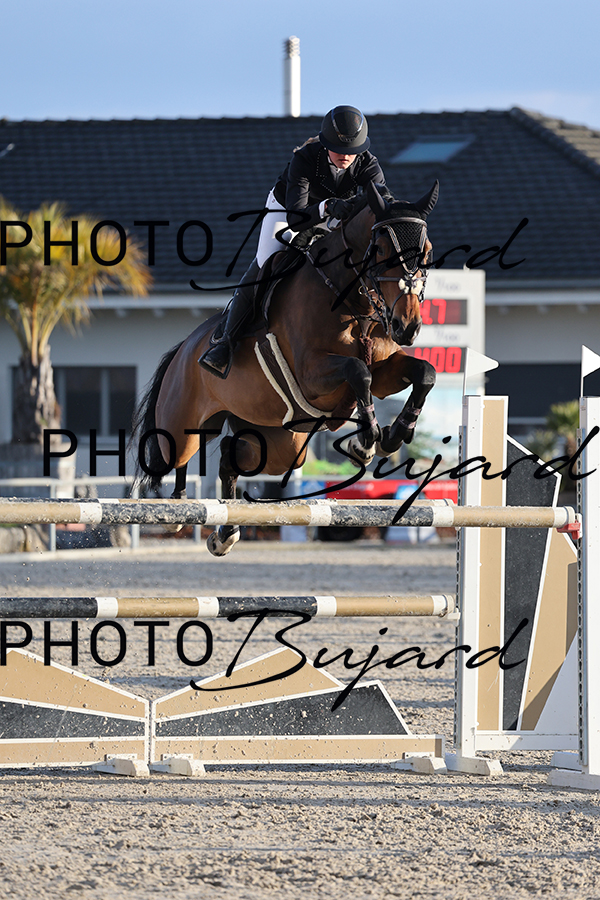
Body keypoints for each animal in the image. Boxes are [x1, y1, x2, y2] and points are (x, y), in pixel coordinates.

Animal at [133, 180, 439, 556]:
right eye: (380, 248)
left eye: (426, 251)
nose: (407, 326)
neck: (354, 302)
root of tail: (184, 348)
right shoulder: (312, 373)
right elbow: (358, 371)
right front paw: (364, 444)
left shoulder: (384, 371)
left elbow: (424, 373)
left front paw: (393, 436)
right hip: (183, 422)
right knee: (178, 455)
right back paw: (177, 510)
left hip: (278, 444)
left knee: (229, 457)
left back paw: (225, 533)